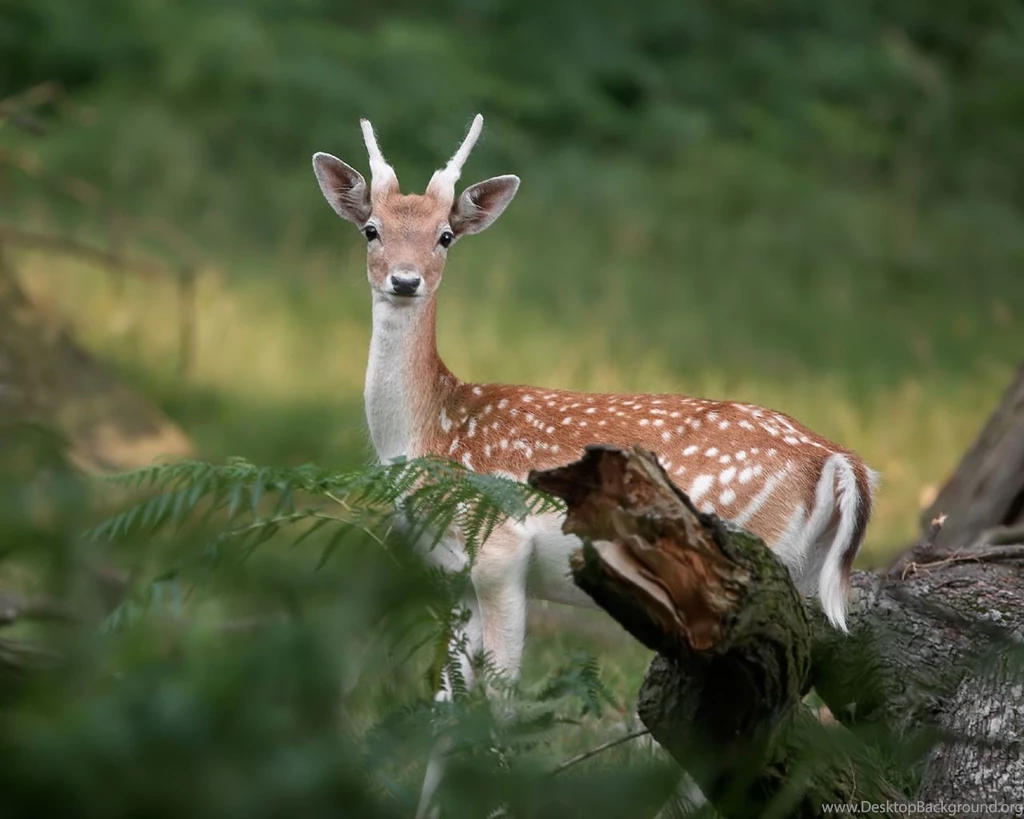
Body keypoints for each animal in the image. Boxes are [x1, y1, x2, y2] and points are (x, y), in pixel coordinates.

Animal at [312, 114, 878, 818]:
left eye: (445, 235)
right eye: (371, 229)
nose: (406, 280)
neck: (431, 434)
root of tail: (840, 462)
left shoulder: (501, 553)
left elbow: (501, 706)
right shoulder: (452, 575)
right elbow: (448, 709)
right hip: (798, 584)